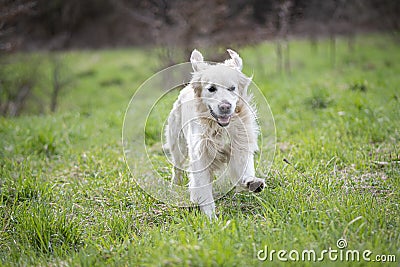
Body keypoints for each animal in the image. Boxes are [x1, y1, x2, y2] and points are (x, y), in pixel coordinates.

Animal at [164, 49, 264, 220]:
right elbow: (203, 189)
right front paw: (211, 218)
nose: (225, 106)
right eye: (211, 89)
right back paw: (175, 186)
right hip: (178, 145)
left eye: (232, 88)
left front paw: (252, 182)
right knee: (176, 167)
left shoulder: (240, 146)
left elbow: (244, 169)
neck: (219, 127)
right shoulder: (200, 155)